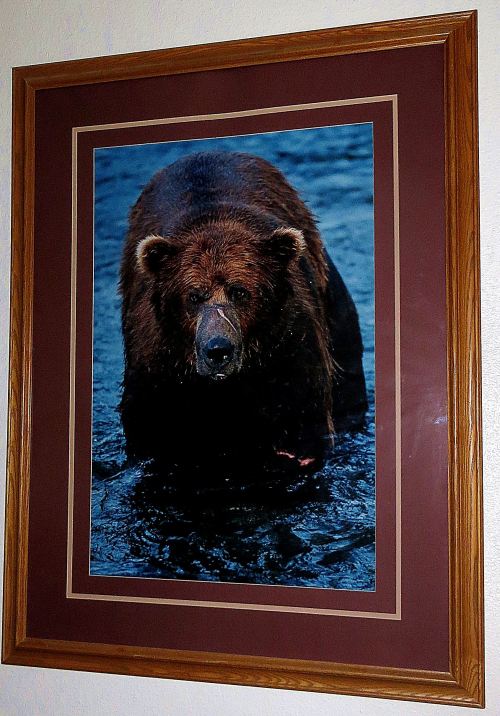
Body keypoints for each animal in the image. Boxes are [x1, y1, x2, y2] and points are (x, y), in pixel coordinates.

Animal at [119, 151, 367, 477]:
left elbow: (300, 429)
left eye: (240, 292)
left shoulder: (289, 352)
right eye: (193, 296)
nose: (217, 350)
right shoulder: (158, 371)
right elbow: (154, 437)